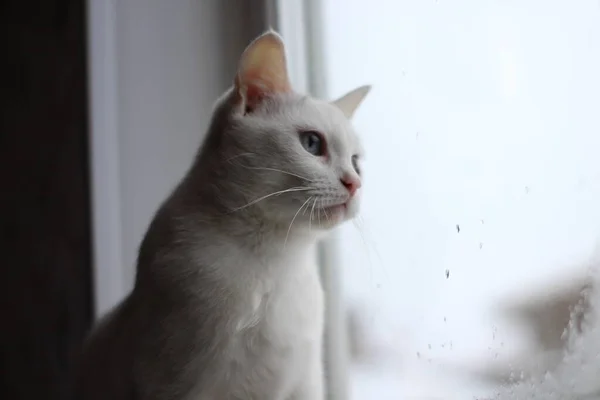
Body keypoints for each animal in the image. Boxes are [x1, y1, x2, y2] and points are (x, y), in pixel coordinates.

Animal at [75, 31, 370, 400]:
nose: (354, 183)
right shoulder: (178, 383)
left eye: (356, 162)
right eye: (312, 144)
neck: (274, 261)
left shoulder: (304, 384)